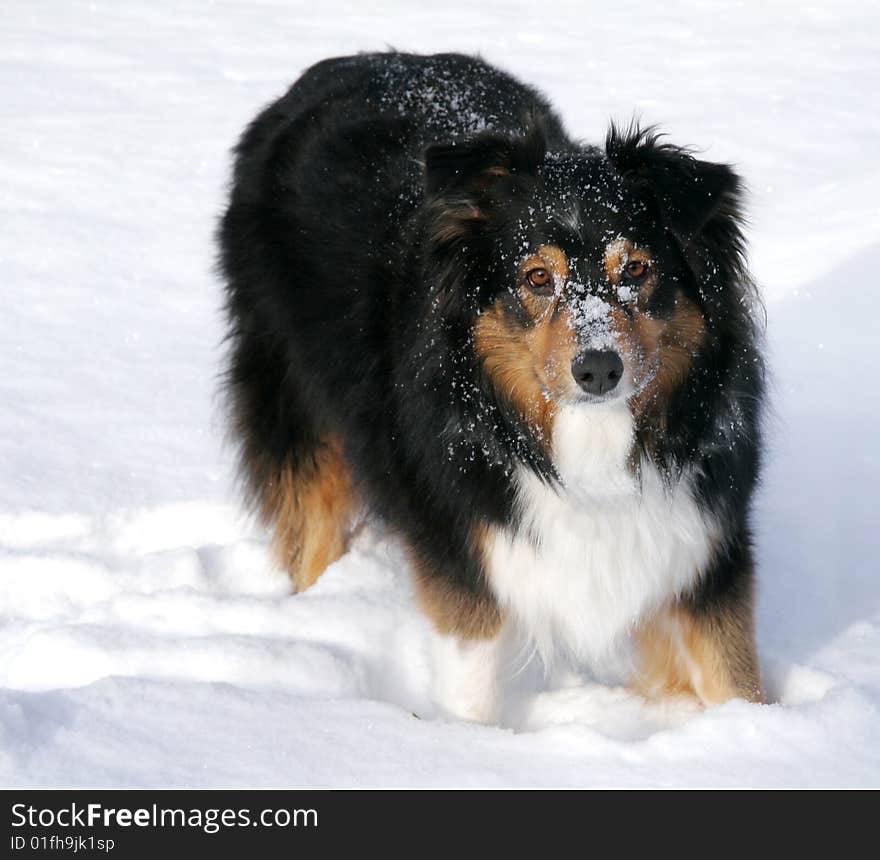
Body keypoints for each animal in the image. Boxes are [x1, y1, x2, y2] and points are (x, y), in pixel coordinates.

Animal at [218, 53, 764, 724]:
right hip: (294, 394)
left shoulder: (703, 544)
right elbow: (471, 689)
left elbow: (734, 678)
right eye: (537, 277)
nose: (598, 369)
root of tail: (352, 61)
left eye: (636, 269)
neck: (585, 444)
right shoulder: (465, 552)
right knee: (311, 523)